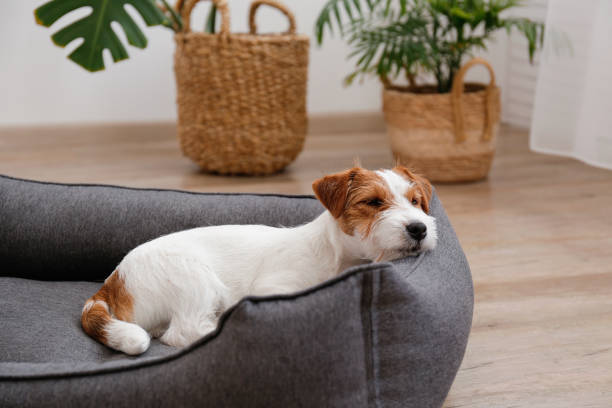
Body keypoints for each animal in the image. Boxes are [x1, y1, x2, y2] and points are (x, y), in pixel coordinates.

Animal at [81, 166, 436, 354]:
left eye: (416, 202)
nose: (418, 229)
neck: (333, 255)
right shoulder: (272, 288)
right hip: (195, 279)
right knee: (182, 332)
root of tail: (113, 281)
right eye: (373, 202)